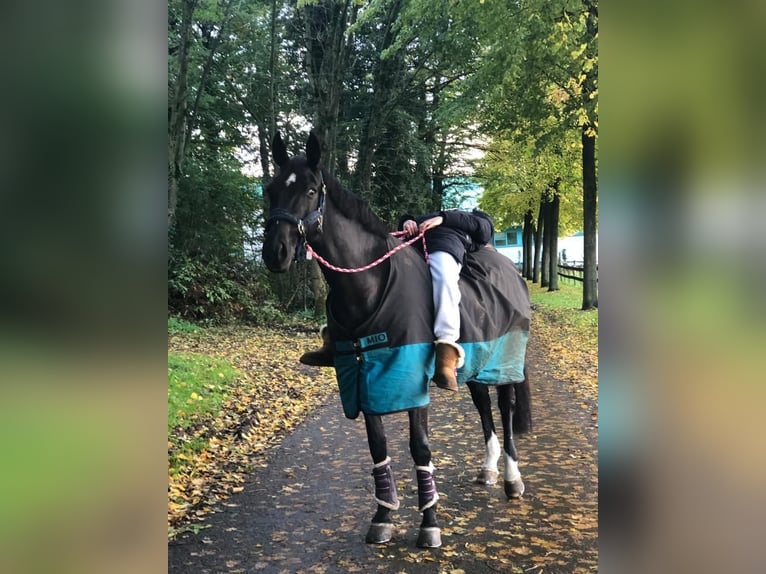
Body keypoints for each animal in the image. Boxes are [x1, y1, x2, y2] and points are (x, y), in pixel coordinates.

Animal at [264, 130, 536, 548]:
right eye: (270, 189)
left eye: (310, 190)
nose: (274, 252)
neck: (370, 287)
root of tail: (509, 268)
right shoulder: (364, 379)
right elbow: (378, 447)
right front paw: (383, 516)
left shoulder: (410, 382)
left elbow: (419, 448)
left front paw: (429, 524)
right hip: (475, 364)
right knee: (483, 409)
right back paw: (489, 469)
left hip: (504, 363)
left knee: (504, 411)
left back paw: (511, 479)